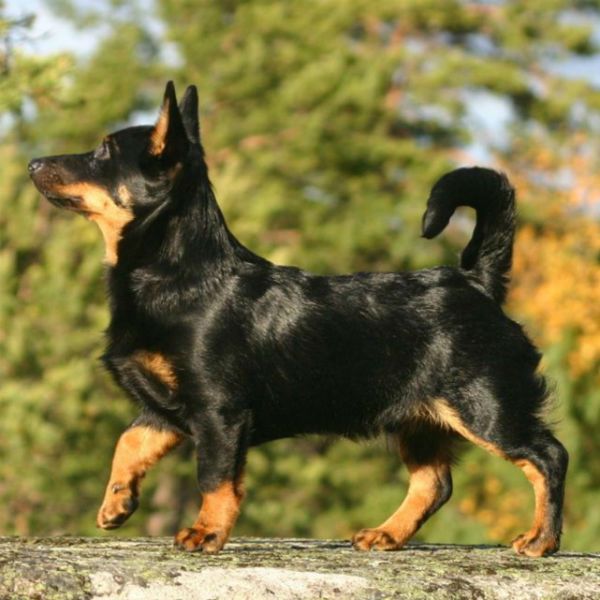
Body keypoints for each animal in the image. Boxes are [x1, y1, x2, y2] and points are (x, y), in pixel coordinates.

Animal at [29, 81, 568, 556]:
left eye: (102, 152)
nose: (33, 161)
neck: (178, 273)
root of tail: (476, 281)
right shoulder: (165, 409)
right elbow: (128, 442)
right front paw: (117, 503)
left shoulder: (219, 412)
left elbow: (216, 477)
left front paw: (206, 533)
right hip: (421, 419)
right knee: (434, 483)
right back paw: (386, 534)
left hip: (487, 407)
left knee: (547, 455)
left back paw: (540, 540)